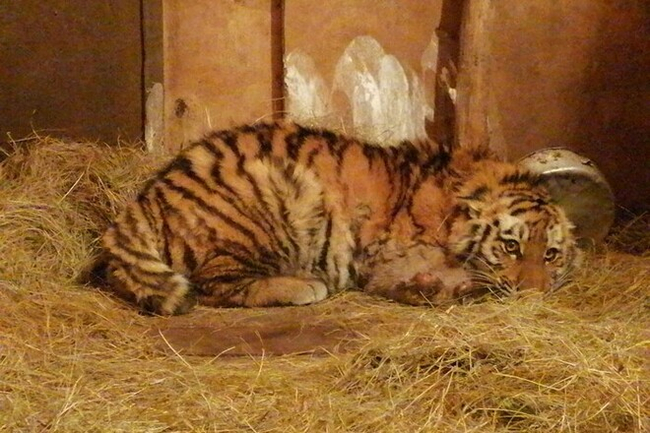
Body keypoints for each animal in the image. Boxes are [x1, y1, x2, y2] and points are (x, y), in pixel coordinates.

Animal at [94, 120, 580, 315]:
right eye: (511, 246)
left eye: (551, 254)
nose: (534, 296)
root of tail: (147, 196)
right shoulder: (389, 259)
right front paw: (440, 287)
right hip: (276, 196)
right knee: (216, 284)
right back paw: (303, 286)